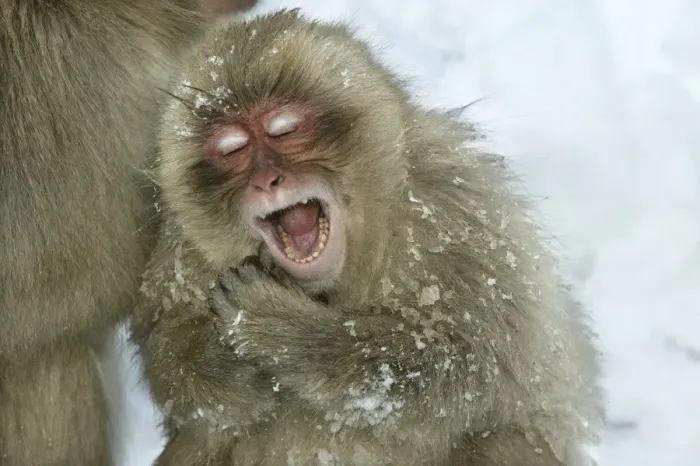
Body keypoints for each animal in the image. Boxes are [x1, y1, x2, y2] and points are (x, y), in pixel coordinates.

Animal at [132, 9, 603, 466]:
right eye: (232, 149)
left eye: (284, 129)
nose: (267, 180)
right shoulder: (180, 250)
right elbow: (171, 366)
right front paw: (225, 364)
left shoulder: (457, 213)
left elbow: (472, 367)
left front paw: (282, 331)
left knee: (498, 438)